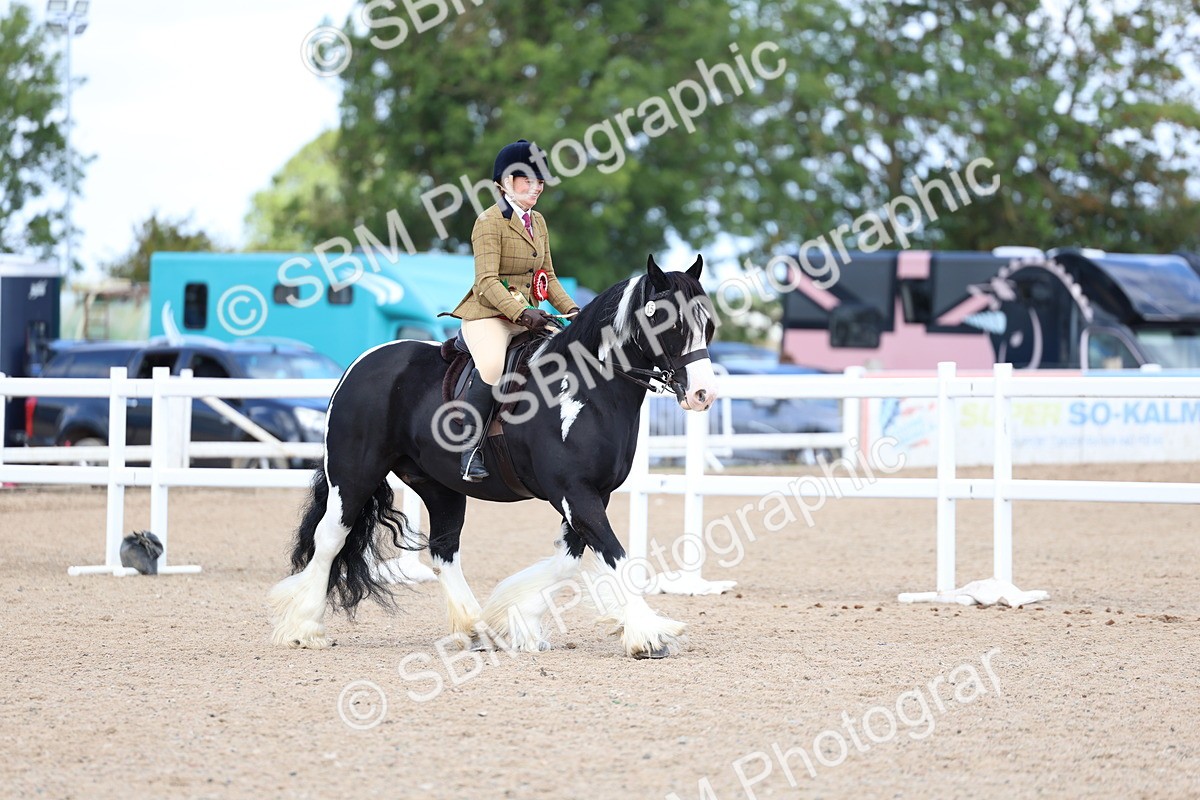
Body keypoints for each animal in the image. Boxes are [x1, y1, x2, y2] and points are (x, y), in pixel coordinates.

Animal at [268, 254, 717, 659]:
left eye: (708, 325)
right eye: (669, 323)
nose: (702, 394)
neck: (584, 390)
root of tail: (361, 364)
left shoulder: (592, 495)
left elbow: (567, 561)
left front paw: (517, 621)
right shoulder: (574, 492)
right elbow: (613, 555)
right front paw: (649, 634)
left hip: (441, 487)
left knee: (444, 550)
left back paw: (476, 628)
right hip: (353, 474)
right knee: (331, 538)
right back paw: (305, 628)